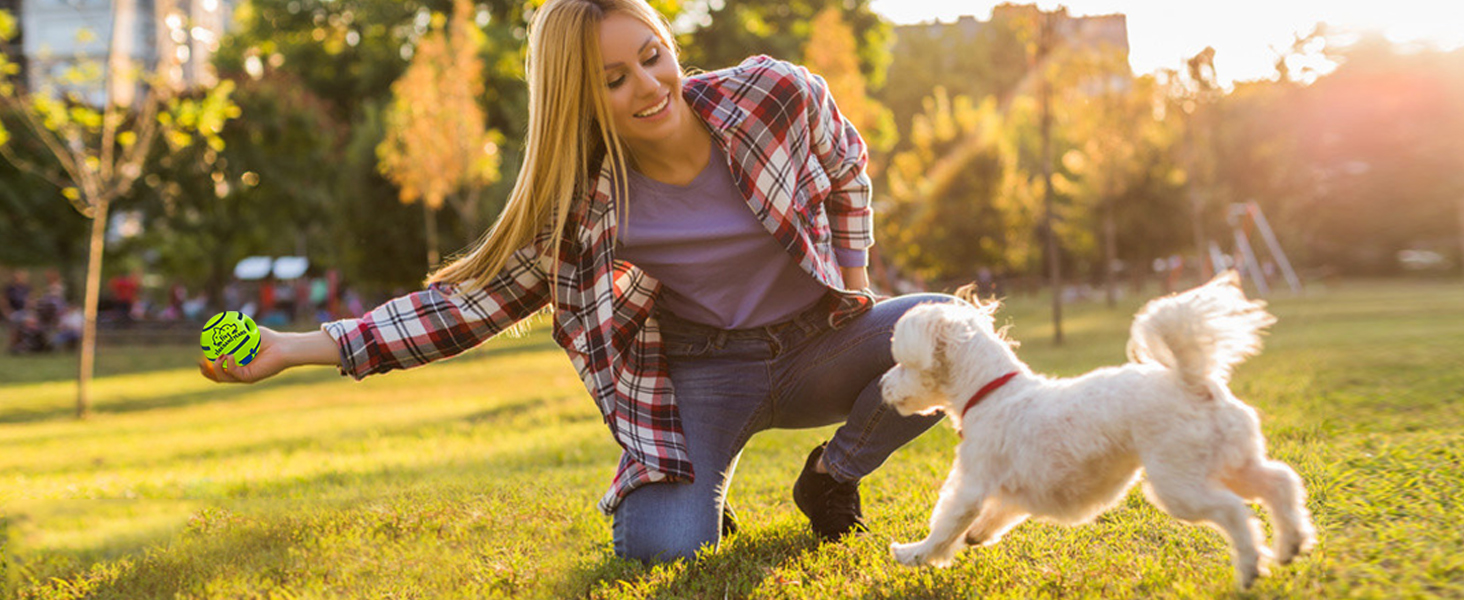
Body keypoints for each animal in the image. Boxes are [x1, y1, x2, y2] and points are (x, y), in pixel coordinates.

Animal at [878, 273, 1317, 591]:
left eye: (902, 363)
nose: (882, 385)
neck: (991, 392)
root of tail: (1194, 382)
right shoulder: (1014, 488)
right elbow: (995, 515)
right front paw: (978, 535)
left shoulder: (973, 481)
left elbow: (947, 523)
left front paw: (914, 554)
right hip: (1231, 460)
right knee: (1280, 482)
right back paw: (1291, 544)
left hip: (1178, 481)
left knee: (1233, 510)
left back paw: (1249, 568)